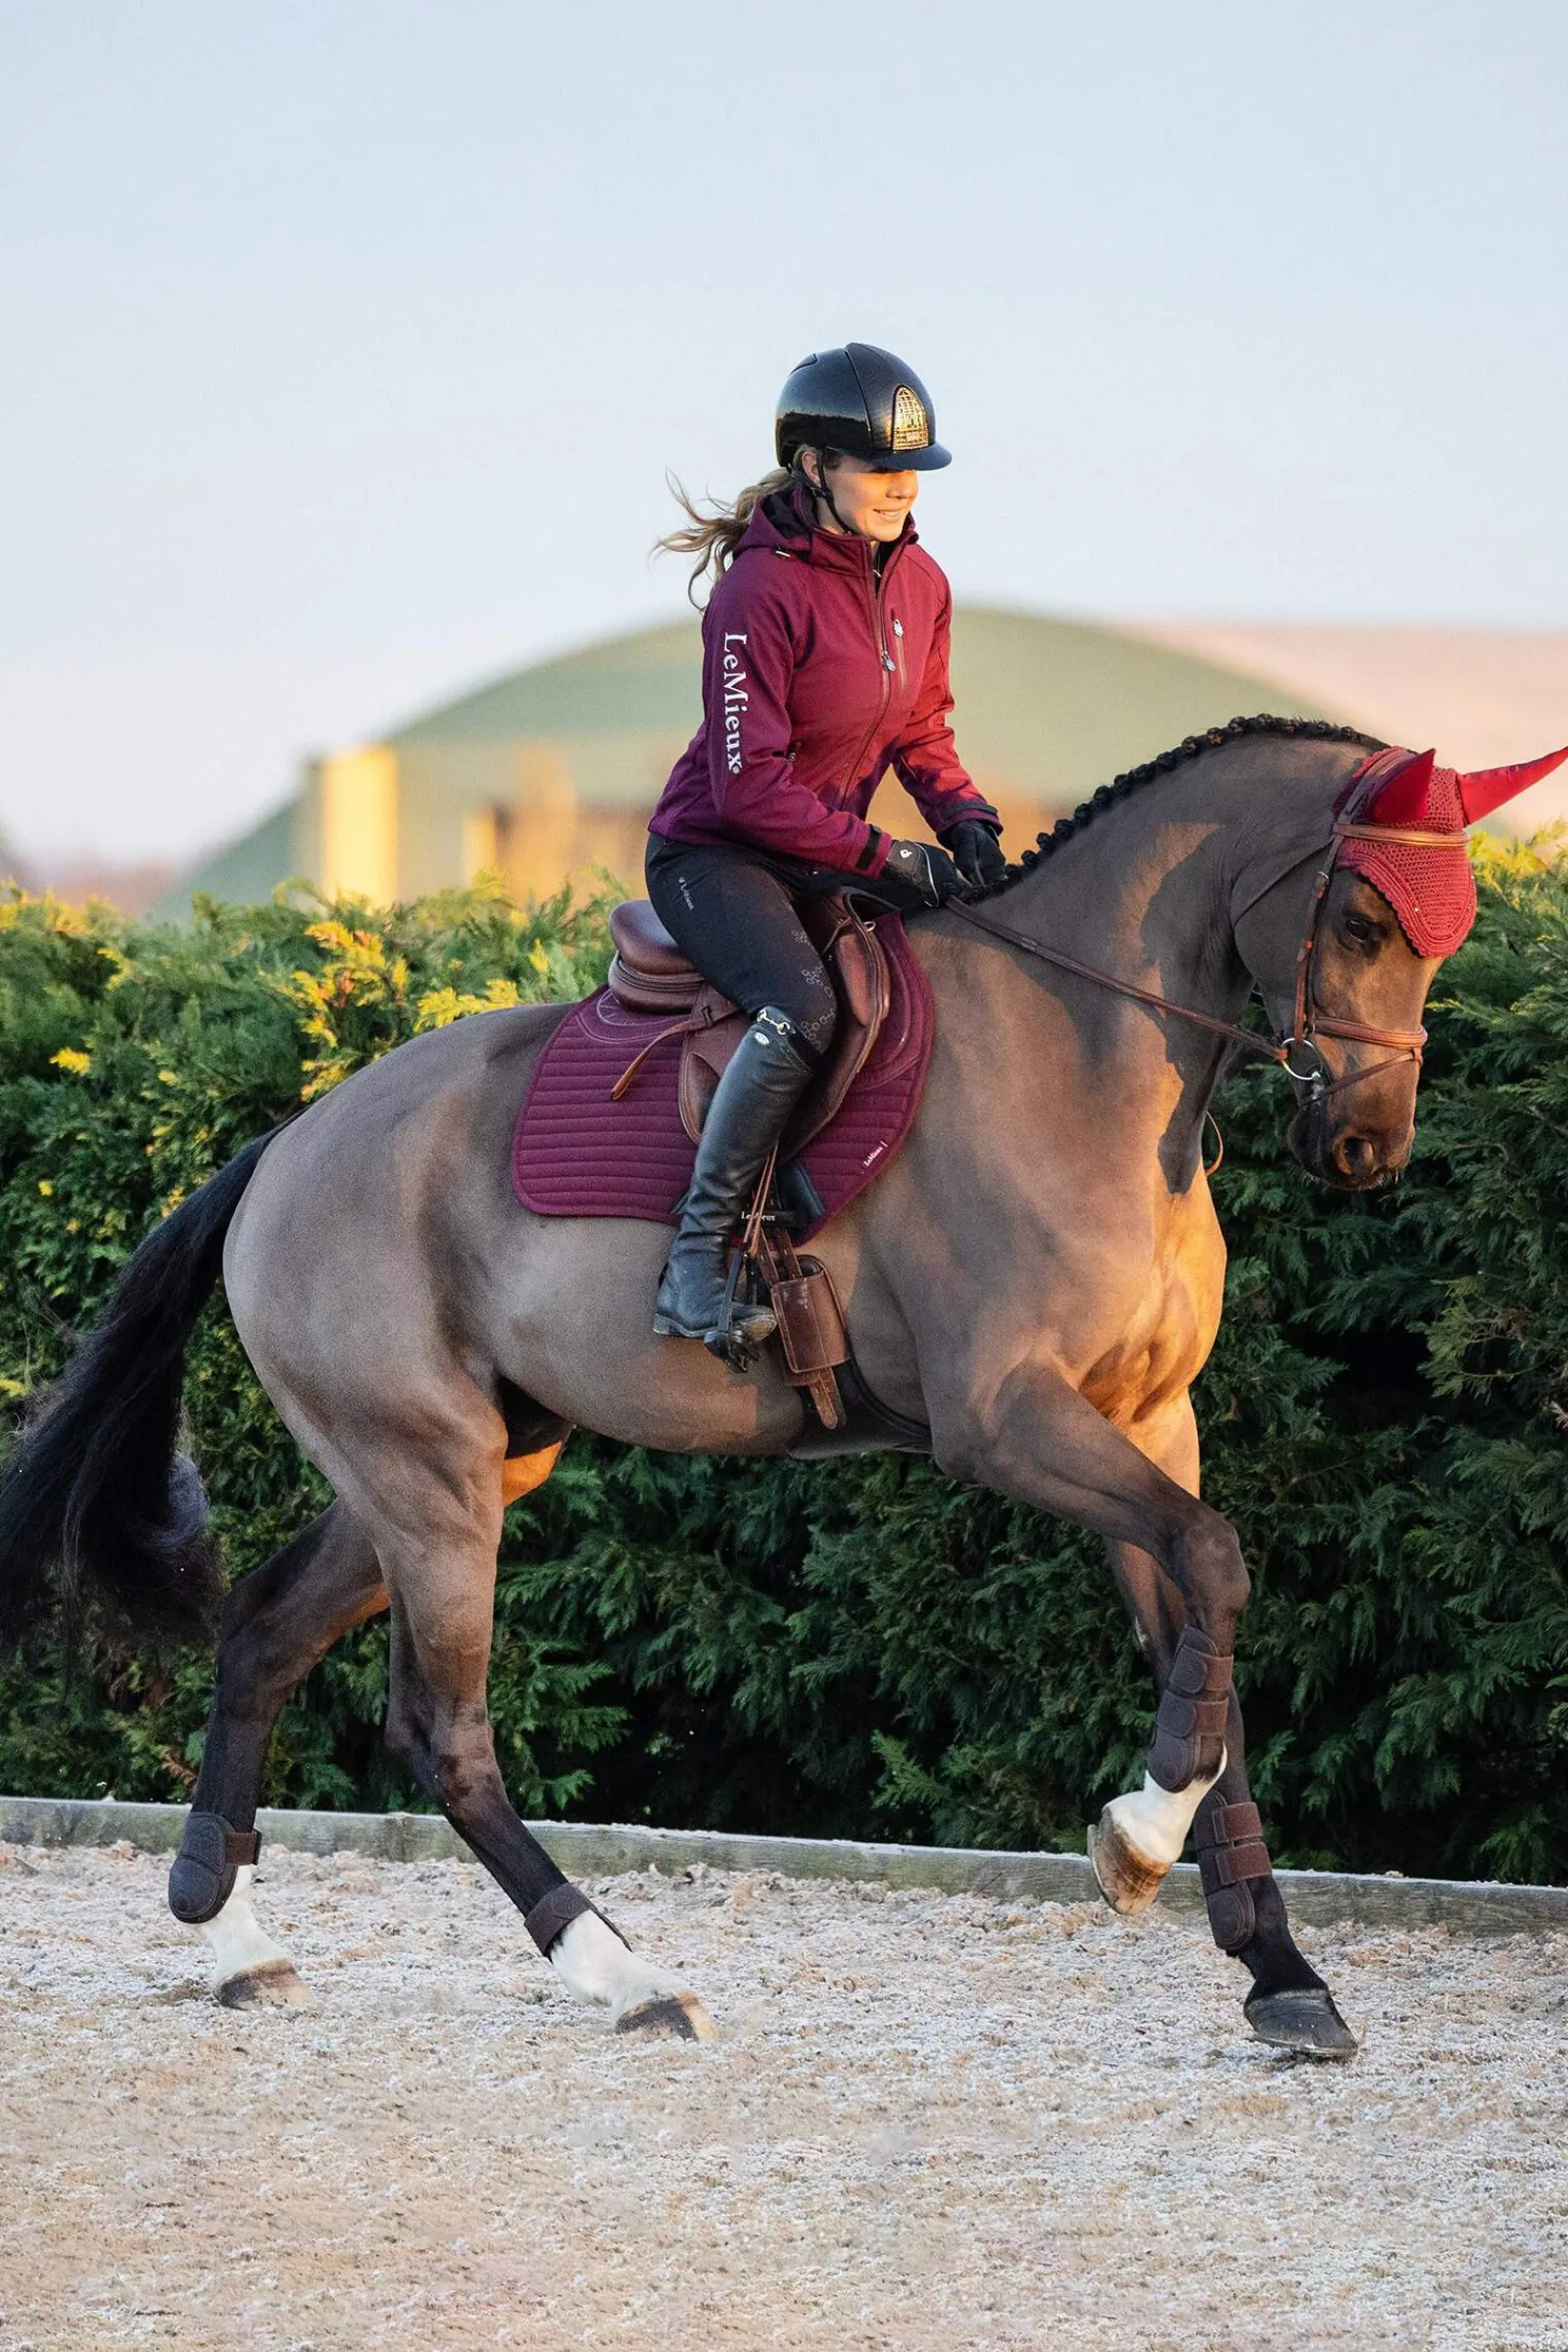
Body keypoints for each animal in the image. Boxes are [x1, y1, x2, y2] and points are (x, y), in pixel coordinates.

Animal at [2, 714, 1549, 2056]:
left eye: (1450, 938)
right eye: (1360, 925)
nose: (1365, 1148)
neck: (1084, 1056)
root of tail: (286, 1144)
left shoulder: (1145, 1424)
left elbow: (1205, 1648)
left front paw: (1279, 1971)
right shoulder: (1008, 1422)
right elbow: (1219, 1573)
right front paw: (1134, 1841)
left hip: (461, 1461)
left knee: (263, 1634)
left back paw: (232, 1938)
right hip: (427, 1477)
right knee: (444, 1732)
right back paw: (623, 1974)